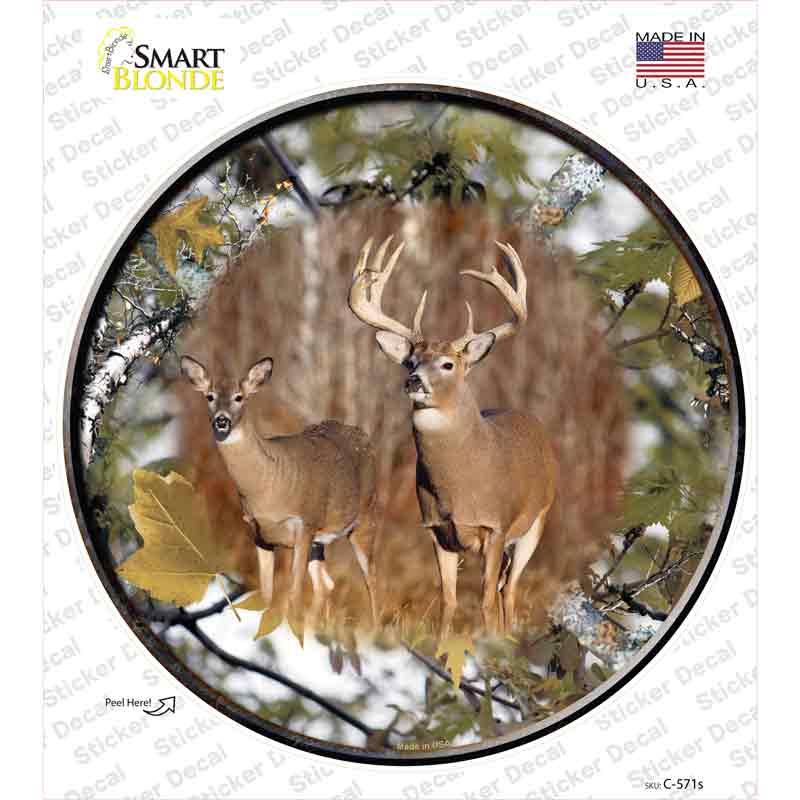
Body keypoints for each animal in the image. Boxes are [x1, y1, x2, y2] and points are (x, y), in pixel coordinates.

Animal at [179, 354, 379, 632]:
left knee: (371, 579)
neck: (267, 488)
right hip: (320, 541)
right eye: (210, 396)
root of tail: (364, 437)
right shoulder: (259, 532)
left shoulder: (305, 523)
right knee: (325, 584)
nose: (221, 420)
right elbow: (266, 592)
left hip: (365, 516)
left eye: (239, 397)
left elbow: (294, 593)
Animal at [348, 235, 557, 637]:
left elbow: (486, 601)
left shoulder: (495, 525)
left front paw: (490, 640)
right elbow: (448, 601)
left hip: (537, 522)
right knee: (505, 586)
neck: (459, 486)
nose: (413, 381)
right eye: (410, 361)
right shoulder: (437, 530)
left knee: (510, 590)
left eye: (448, 364)